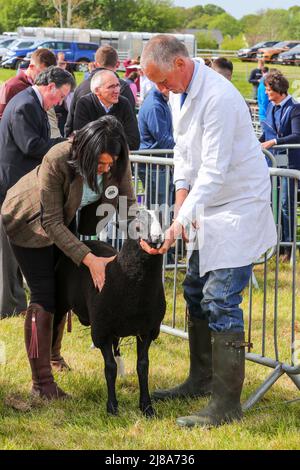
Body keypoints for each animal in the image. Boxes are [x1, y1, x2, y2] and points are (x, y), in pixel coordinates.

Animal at [54, 209, 165, 414]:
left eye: (164, 223)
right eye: (137, 226)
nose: (156, 239)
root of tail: (85, 242)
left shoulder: (147, 329)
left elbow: (143, 366)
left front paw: (146, 406)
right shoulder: (102, 330)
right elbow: (110, 367)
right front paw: (112, 406)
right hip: (61, 303)